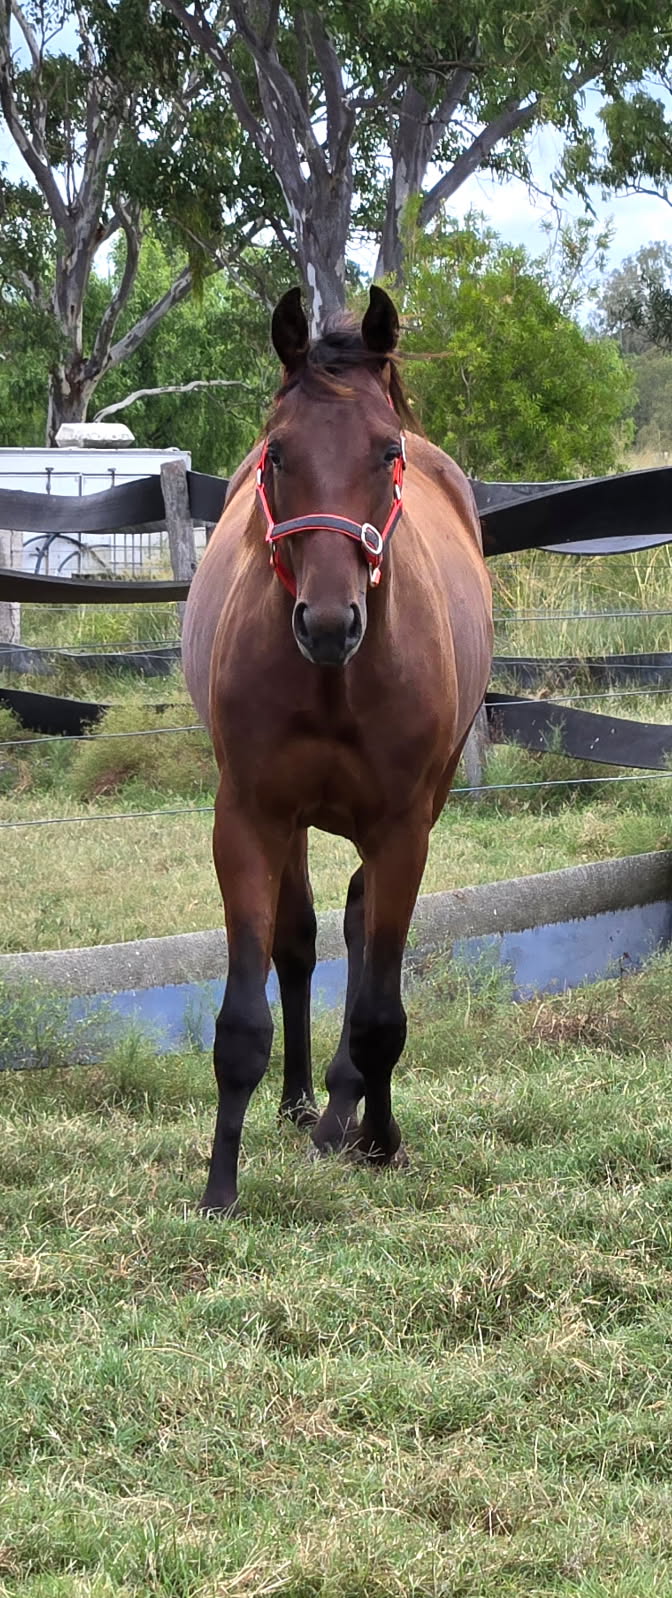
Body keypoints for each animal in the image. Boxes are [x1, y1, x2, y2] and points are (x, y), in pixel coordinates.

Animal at [182, 284, 493, 1214]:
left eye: (384, 453)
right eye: (277, 453)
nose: (328, 623)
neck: (335, 681)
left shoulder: (403, 830)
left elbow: (383, 1011)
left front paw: (380, 1137)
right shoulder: (249, 818)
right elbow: (244, 1014)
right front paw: (220, 1189)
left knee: (360, 931)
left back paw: (343, 1110)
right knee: (302, 938)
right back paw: (300, 1100)